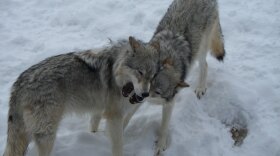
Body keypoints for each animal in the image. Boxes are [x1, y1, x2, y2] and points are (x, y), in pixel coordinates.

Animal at [3, 36, 160, 156]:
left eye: (152, 75)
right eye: (140, 72)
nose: (145, 94)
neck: (116, 72)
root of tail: (19, 83)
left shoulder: (99, 110)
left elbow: (93, 126)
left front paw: (93, 136)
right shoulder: (115, 116)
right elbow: (118, 145)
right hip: (47, 136)